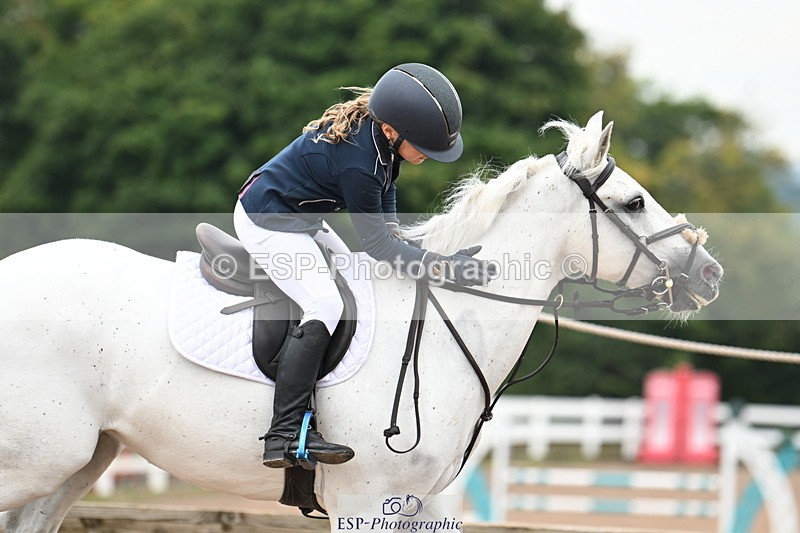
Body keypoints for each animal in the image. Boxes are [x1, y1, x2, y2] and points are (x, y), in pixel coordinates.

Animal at [0, 112, 722, 531]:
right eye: (634, 201)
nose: (709, 271)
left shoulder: (414, 504)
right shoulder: (366, 501)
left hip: (76, 463)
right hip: (39, 457)